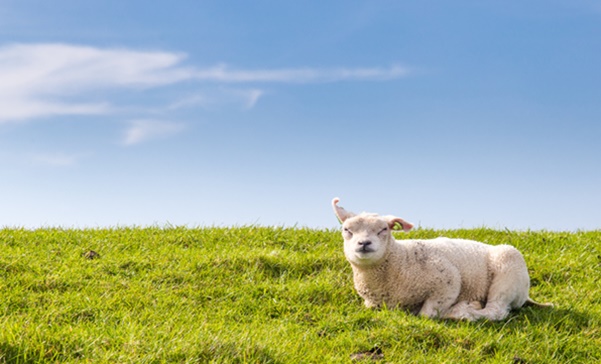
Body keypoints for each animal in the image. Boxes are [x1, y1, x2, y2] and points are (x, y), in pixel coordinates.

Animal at [330, 198, 552, 320]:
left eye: (384, 229)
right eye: (347, 230)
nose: (364, 243)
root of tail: (526, 294)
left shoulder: (448, 280)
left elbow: (427, 314)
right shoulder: (373, 304)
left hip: (508, 269)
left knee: (496, 311)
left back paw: (465, 312)